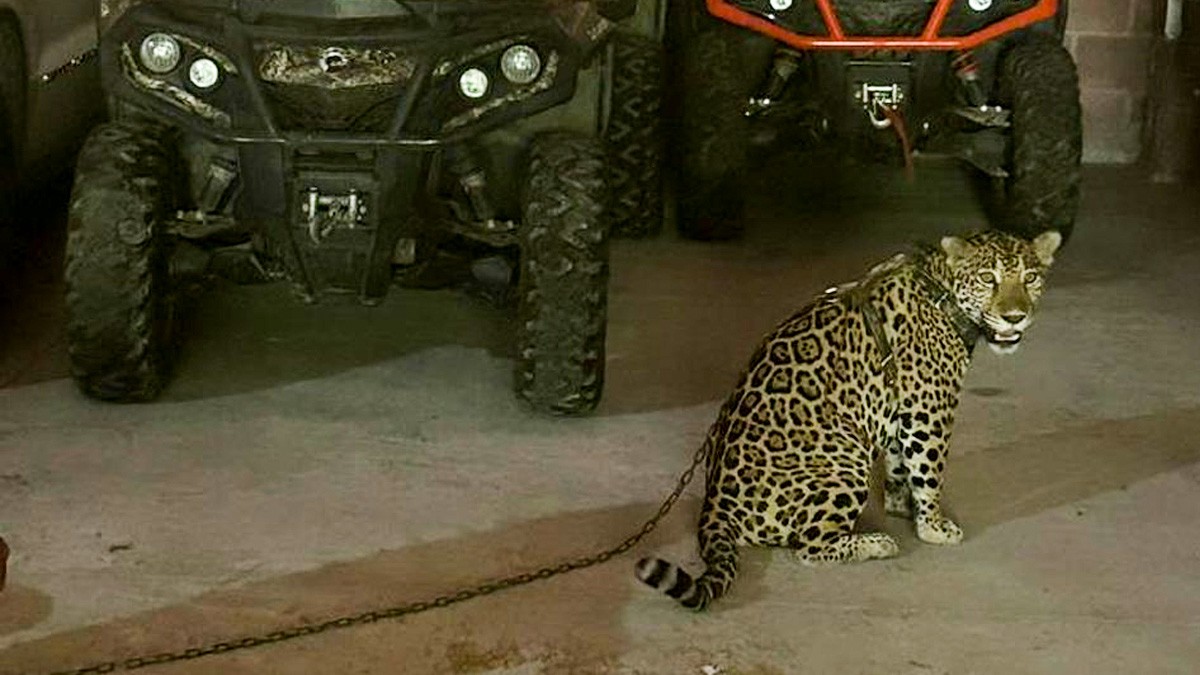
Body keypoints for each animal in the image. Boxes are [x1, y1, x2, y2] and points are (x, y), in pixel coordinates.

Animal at [635, 228, 1063, 610]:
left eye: (1030, 277)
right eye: (988, 278)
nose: (1014, 317)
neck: (942, 290)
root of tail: (714, 504)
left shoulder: (900, 409)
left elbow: (900, 464)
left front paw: (900, 505)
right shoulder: (929, 409)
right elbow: (929, 471)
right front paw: (933, 525)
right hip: (844, 466)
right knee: (808, 548)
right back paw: (876, 543)